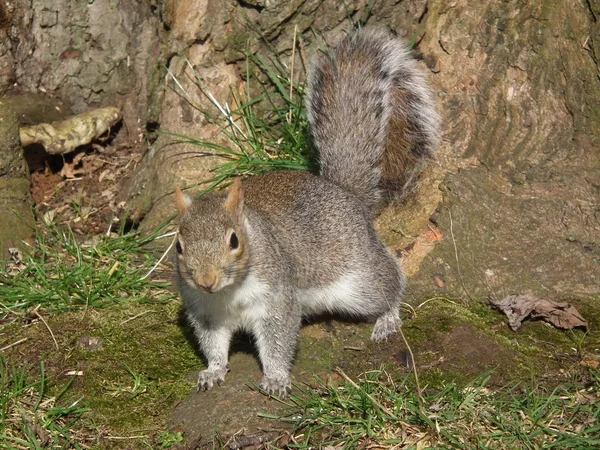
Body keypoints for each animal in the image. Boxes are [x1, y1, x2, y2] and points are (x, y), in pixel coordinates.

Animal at [173, 27, 440, 398]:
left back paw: (388, 317)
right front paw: (212, 371)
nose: (206, 280)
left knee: (390, 283)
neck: (227, 294)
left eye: (234, 241)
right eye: (179, 246)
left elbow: (278, 341)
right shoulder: (205, 311)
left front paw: (275, 377)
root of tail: (345, 193)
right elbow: (213, 344)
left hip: (356, 280)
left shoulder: (277, 299)